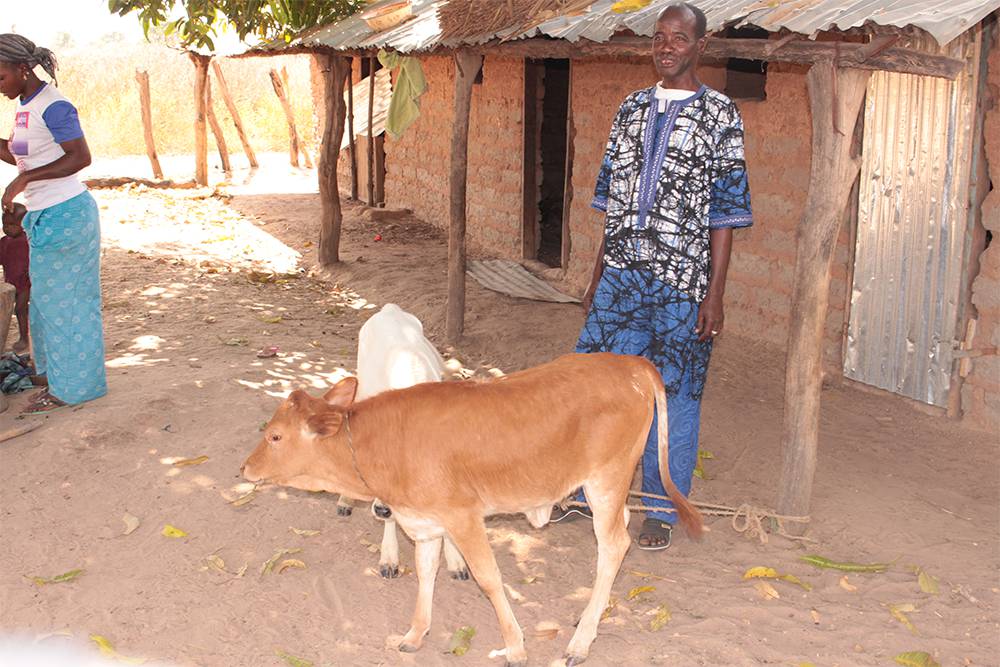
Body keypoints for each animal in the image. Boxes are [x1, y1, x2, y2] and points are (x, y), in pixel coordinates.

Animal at [242, 352, 700, 664]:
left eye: (275, 437)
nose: (245, 468)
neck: (383, 445)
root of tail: (630, 363)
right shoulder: (424, 521)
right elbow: (425, 572)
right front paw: (415, 634)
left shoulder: (463, 516)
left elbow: (489, 578)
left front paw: (515, 647)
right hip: (610, 486)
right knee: (619, 533)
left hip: (606, 479)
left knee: (614, 545)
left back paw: (580, 642)